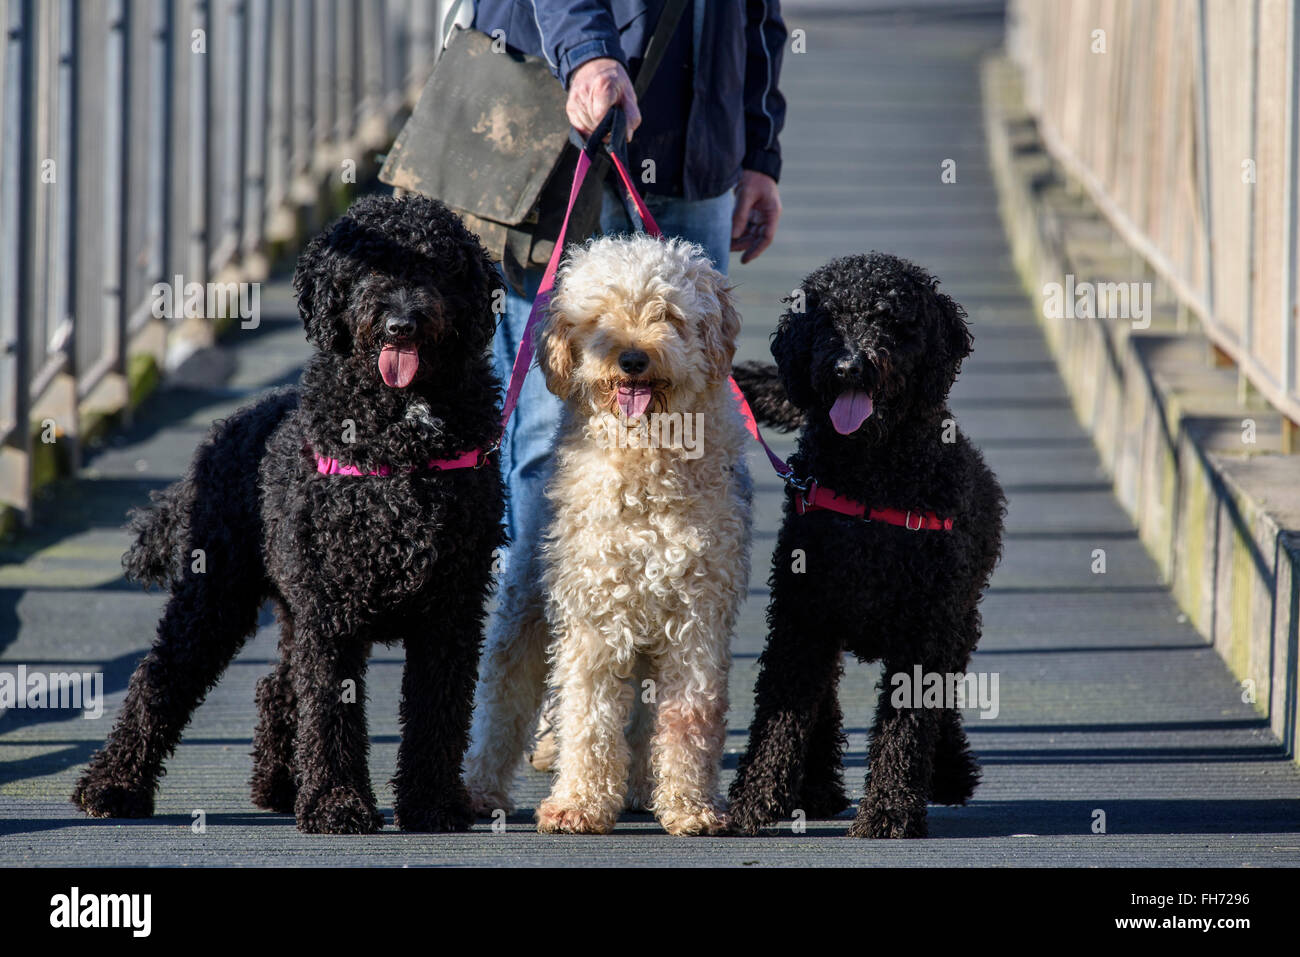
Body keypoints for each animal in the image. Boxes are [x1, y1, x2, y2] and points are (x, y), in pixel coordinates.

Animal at [71, 197, 506, 832]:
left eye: (437, 267)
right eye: (371, 267)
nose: (401, 323)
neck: (401, 437)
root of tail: (230, 427)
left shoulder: (451, 607)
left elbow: (438, 710)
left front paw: (431, 803)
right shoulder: (332, 610)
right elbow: (329, 707)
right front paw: (337, 804)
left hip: (288, 600)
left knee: (277, 686)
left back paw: (279, 782)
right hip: (216, 595)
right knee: (161, 677)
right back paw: (112, 785)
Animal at [467, 235, 754, 832]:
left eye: (669, 314)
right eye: (598, 318)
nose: (633, 358)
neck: (646, 464)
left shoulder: (697, 619)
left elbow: (689, 718)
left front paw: (690, 807)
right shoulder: (594, 614)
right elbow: (588, 716)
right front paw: (577, 805)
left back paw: (645, 788)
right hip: (526, 609)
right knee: (503, 702)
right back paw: (480, 790)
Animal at [733, 252, 1003, 837]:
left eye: (889, 319)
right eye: (826, 320)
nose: (848, 367)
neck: (870, 480)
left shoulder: (926, 630)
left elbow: (908, 724)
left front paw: (890, 810)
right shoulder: (801, 618)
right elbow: (781, 713)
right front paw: (754, 799)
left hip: (960, 622)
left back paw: (948, 772)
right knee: (825, 697)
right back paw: (815, 789)